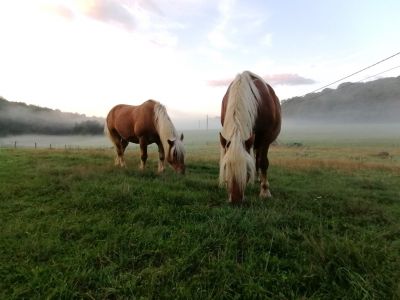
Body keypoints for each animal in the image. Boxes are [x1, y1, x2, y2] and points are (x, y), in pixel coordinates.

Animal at [219, 70, 282, 203]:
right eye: (226, 166)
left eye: (247, 167)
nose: (235, 200)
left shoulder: (265, 138)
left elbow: (263, 162)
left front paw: (265, 191)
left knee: (259, 158)